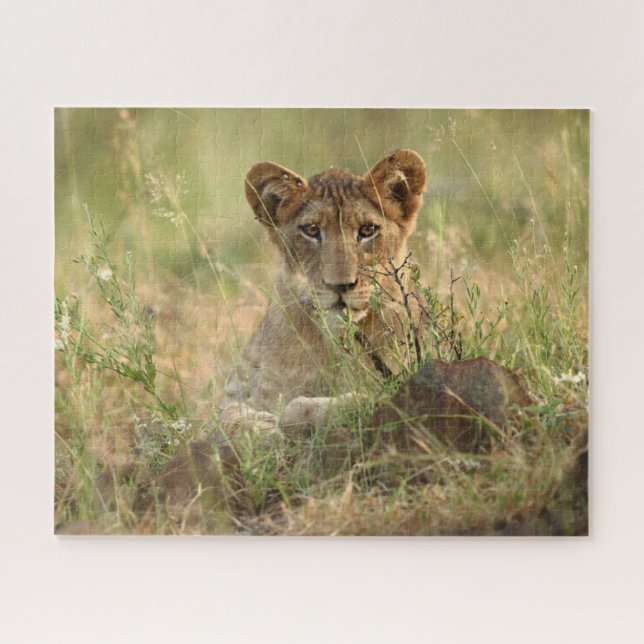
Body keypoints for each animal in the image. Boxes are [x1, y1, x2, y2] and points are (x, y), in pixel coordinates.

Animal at [218, 149, 428, 434]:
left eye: (367, 230)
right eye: (311, 230)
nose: (340, 286)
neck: (333, 344)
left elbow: (322, 405)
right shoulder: (234, 393)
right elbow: (226, 415)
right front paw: (261, 426)